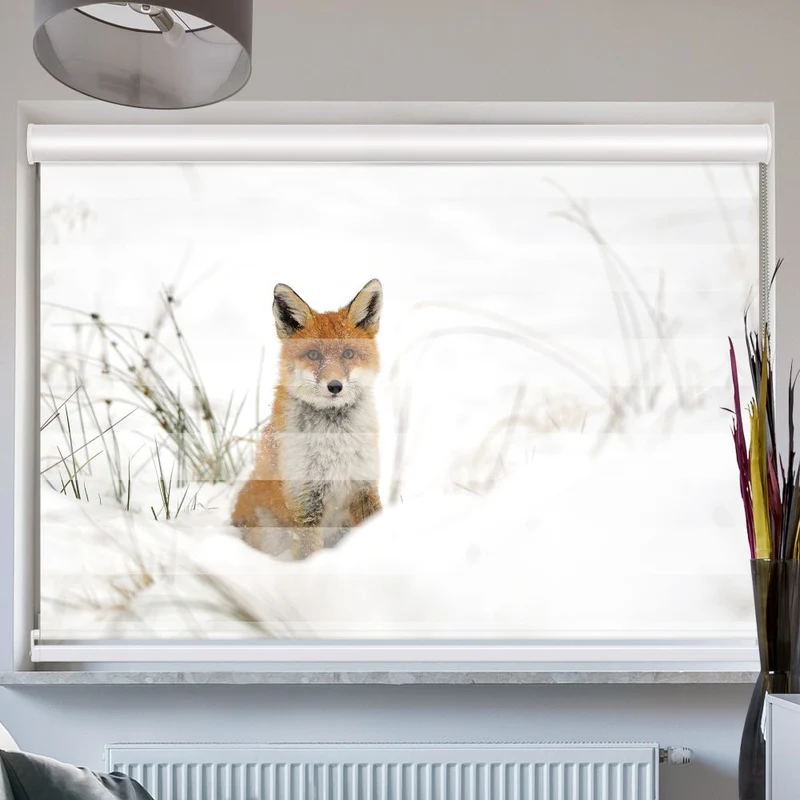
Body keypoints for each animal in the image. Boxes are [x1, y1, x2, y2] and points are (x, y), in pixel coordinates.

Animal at [231, 279, 384, 560]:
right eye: (314, 355)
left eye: (348, 354)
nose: (335, 386)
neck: (335, 445)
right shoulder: (306, 500)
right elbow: (307, 551)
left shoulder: (365, 486)